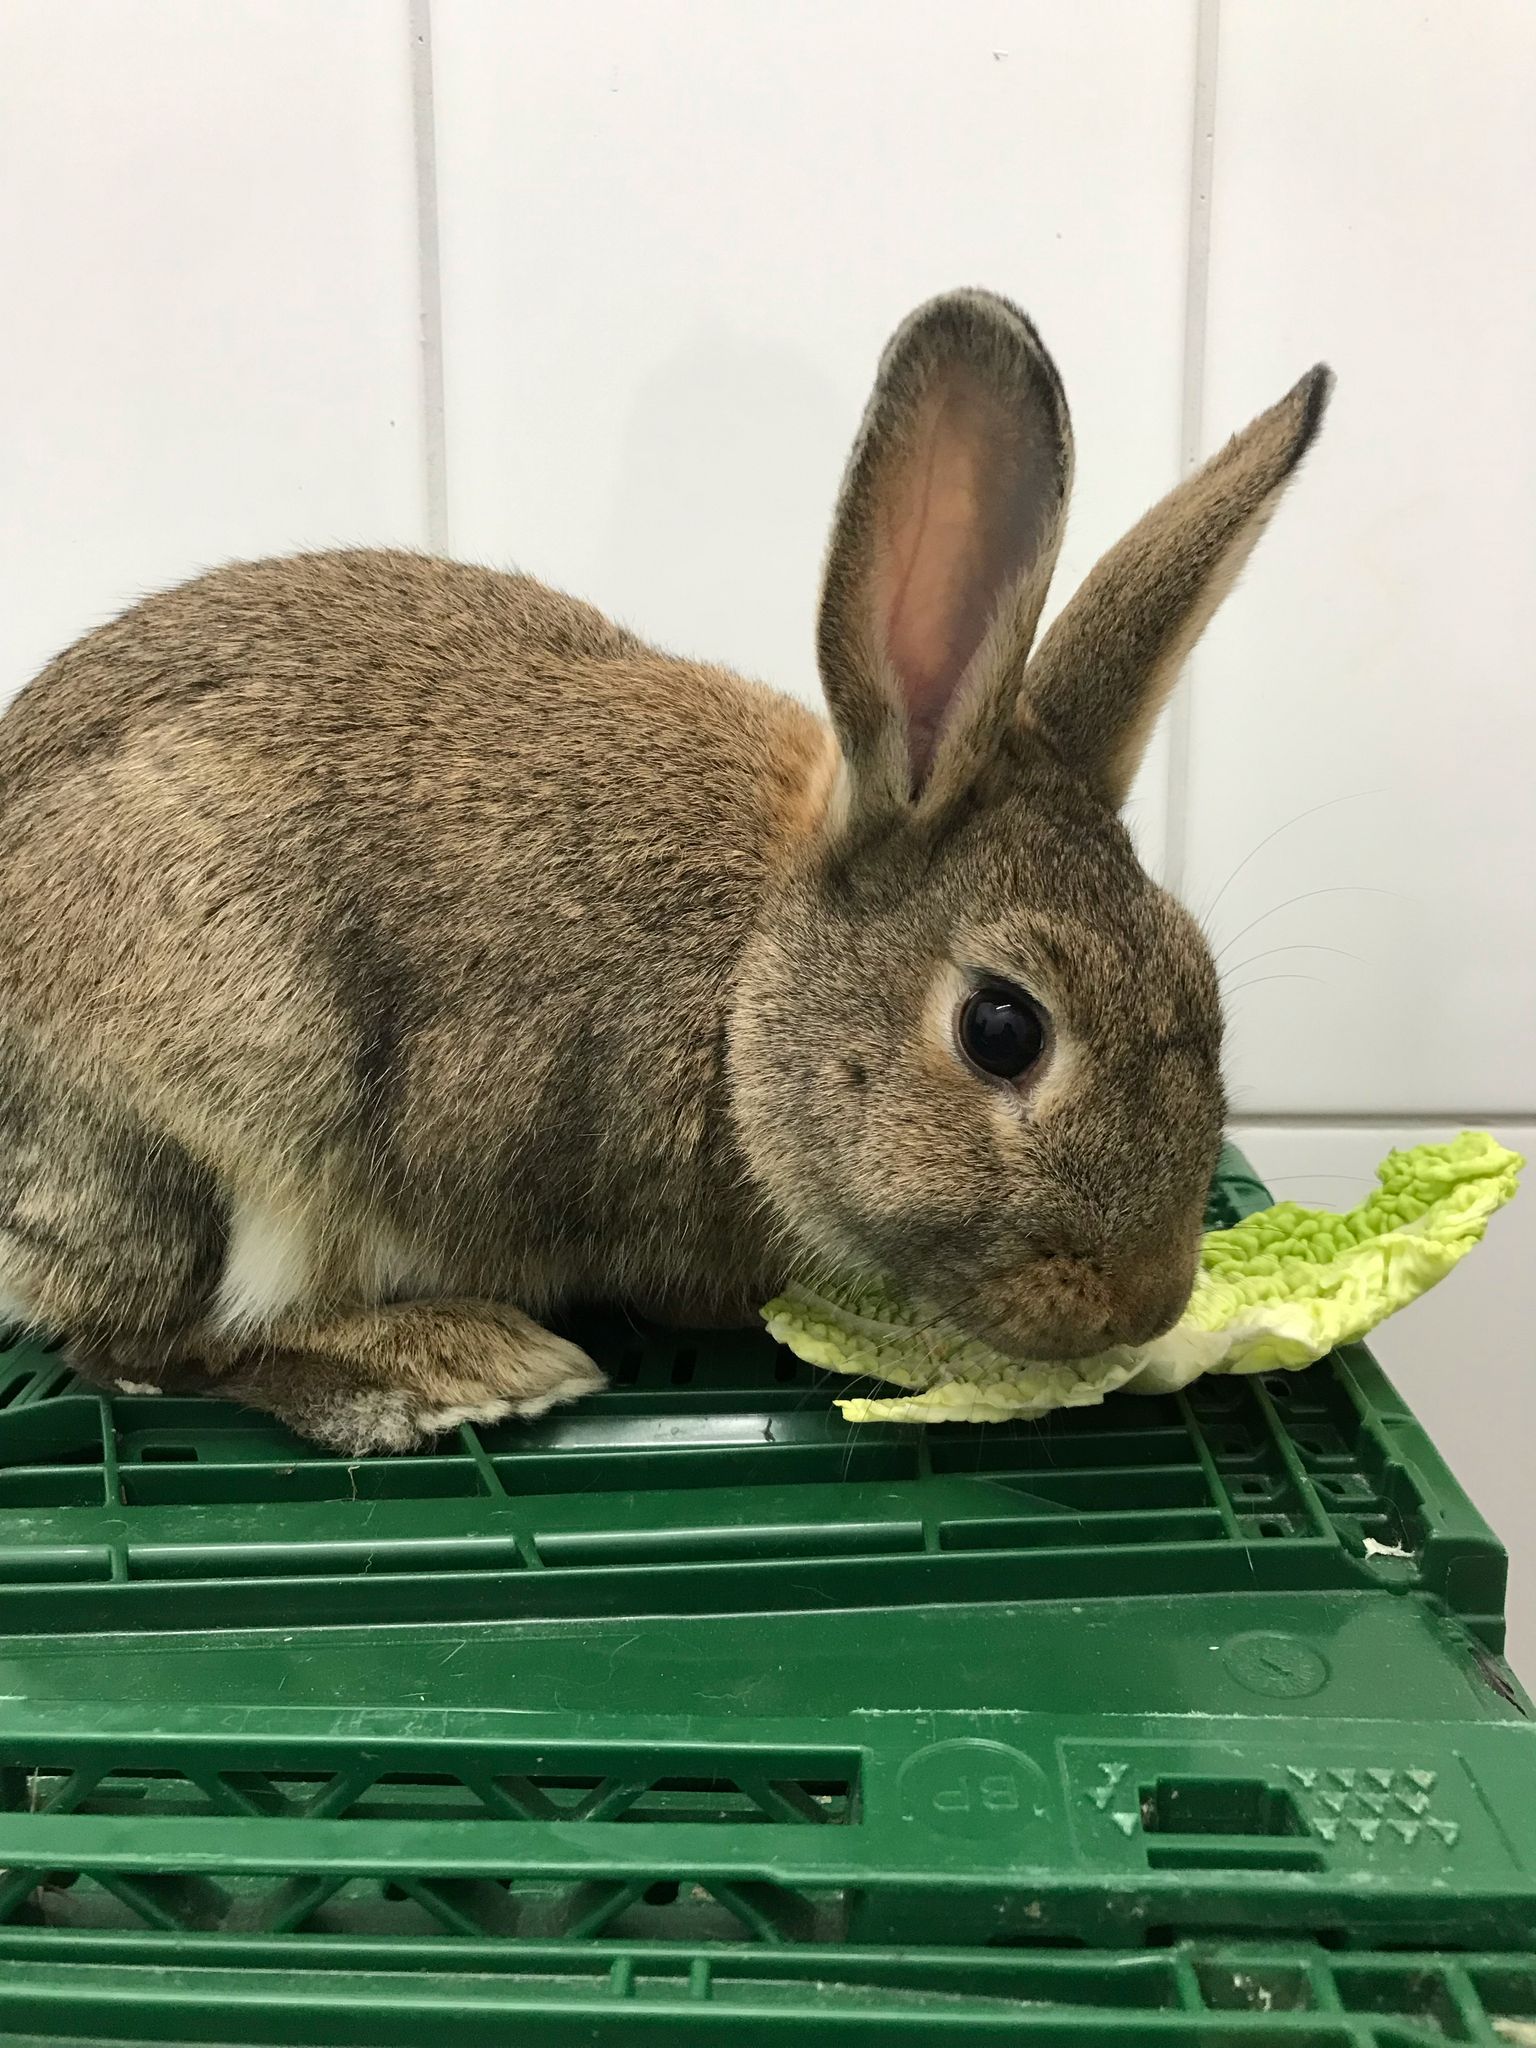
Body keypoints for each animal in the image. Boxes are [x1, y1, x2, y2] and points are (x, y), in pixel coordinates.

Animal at [0, 290, 1330, 1454]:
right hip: (228, 1113)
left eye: (1199, 978)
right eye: (1002, 1028)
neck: (748, 977)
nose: (1148, 1301)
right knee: (152, 1344)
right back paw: (459, 1366)